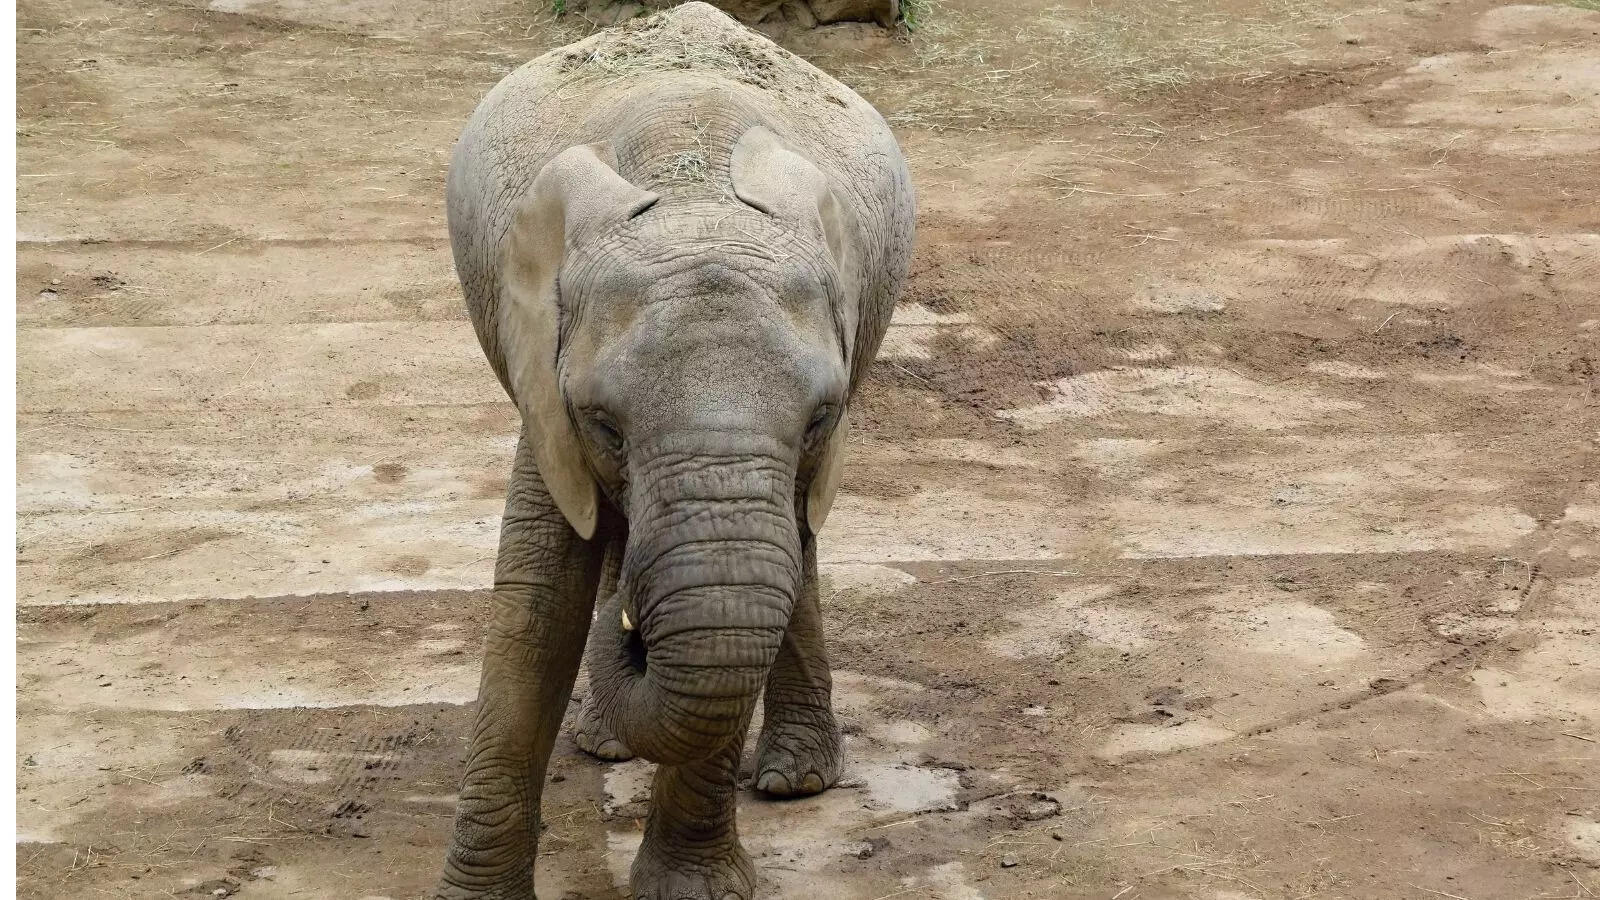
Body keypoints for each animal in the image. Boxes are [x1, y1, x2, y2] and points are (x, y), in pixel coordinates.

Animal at [434, 4, 915, 899]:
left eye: (821, 418)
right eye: (603, 423)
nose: (635, 630)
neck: (694, 193)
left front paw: (693, 889)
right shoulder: (542, 376)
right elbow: (539, 601)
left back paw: (795, 779)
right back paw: (607, 739)